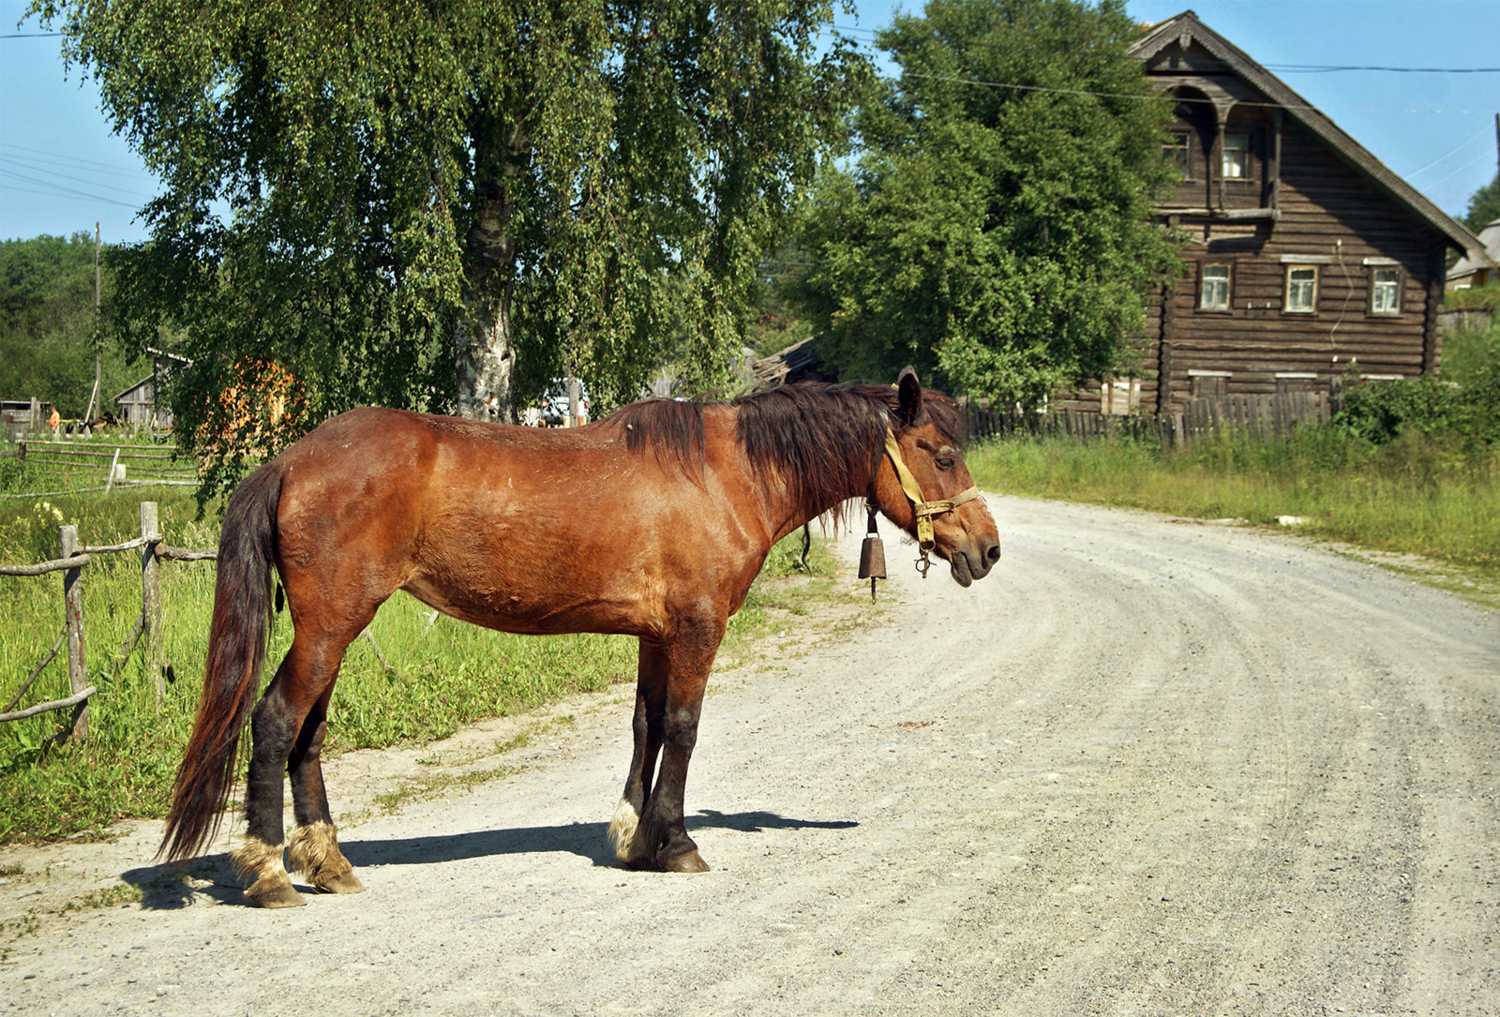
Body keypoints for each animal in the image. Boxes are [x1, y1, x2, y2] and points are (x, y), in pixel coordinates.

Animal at [161, 370, 996, 912]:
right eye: (941, 453)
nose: (987, 549)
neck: (725, 474)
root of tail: (289, 459)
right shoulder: (697, 630)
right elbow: (683, 730)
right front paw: (676, 844)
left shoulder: (658, 634)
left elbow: (647, 726)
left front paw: (632, 836)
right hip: (331, 624)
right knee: (276, 723)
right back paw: (268, 872)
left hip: (334, 627)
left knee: (308, 733)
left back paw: (327, 861)